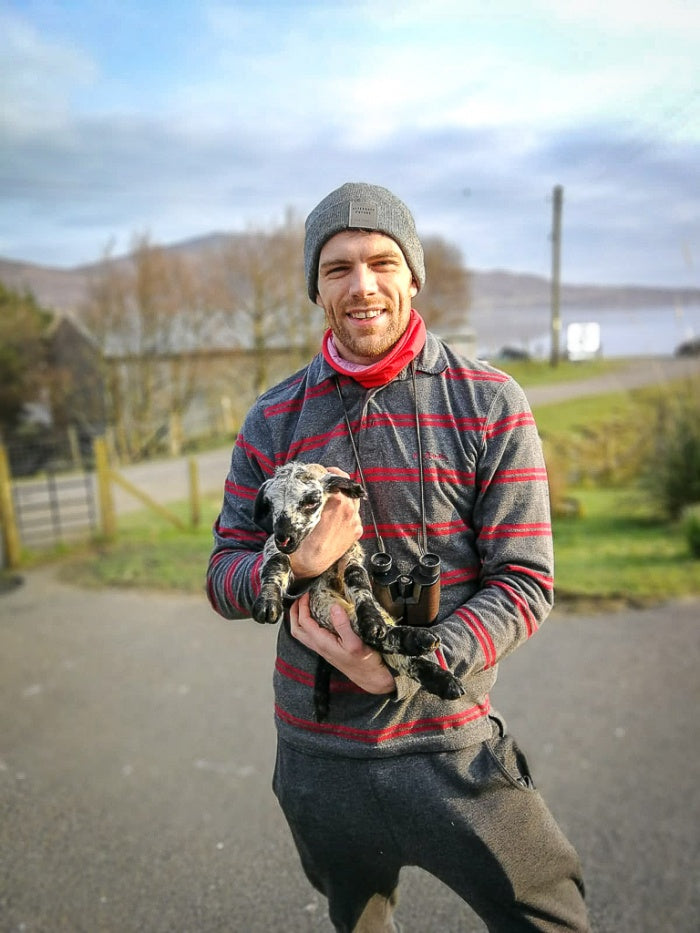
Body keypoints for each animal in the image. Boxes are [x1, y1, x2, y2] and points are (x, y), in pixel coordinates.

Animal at [252, 460, 464, 720]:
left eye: (311, 501)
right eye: (270, 504)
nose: (285, 537)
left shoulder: (350, 551)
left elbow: (358, 579)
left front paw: (370, 618)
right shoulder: (272, 545)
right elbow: (276, 561)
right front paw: (267, 601)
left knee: (387, 644)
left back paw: (432, 662)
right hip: (324, 605)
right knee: (377, 640)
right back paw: (422, 649)